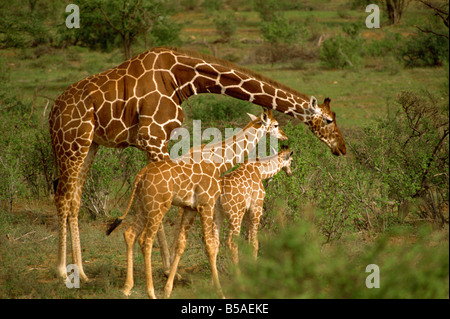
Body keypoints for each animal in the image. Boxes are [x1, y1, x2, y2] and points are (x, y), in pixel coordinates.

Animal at [107, 109, 286, 298]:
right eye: (276, 125)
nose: (284, 136)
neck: (218, 162)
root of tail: (140, 175)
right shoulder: (206, 204)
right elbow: (211, 246)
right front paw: (220, 292)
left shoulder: (190, 208)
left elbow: (181, 245)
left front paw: (168, 290)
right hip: (158, 205)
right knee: (145, 240)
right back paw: (151, 292)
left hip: (142, 205)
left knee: (130, 234)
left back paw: (127, 287)